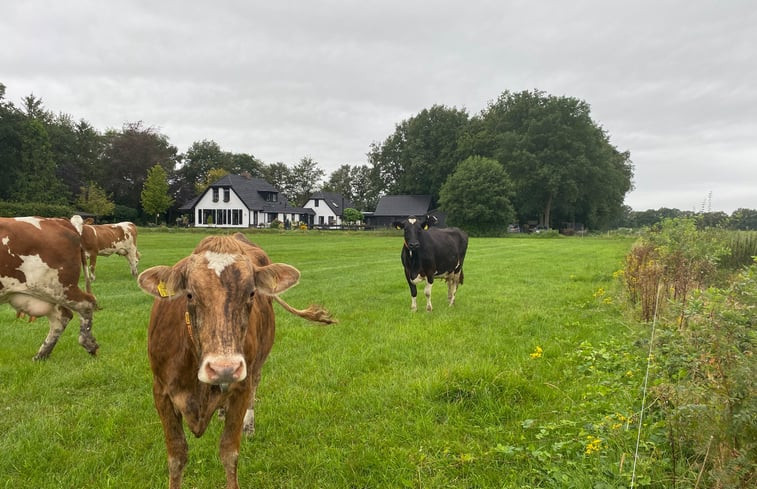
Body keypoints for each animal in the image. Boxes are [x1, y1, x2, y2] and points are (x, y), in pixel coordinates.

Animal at [0, 216, 99, 358]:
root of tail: (57, 221)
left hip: (61, 288)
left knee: (86, 304)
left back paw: (88, 343)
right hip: (47, 292)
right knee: (62, 317)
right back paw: (41, 355)